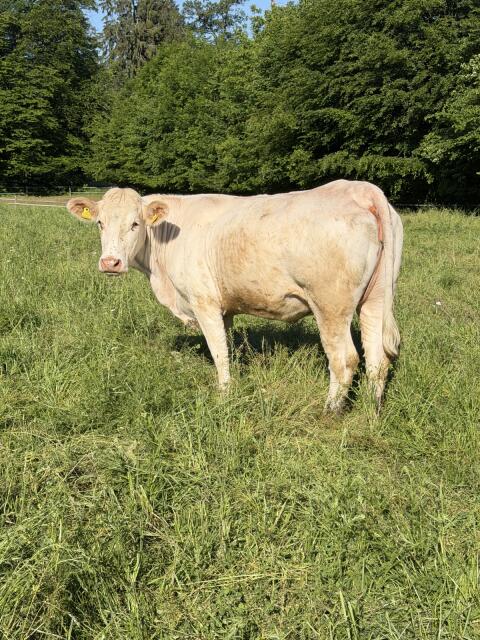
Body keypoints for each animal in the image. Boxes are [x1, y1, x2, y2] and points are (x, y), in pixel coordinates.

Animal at [67, 180, 403, 412]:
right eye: (100, 223)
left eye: (135, 223)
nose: (110, 262)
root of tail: (357, 189)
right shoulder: (224, 310)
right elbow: (226, 347)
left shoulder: (204, 302)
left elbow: (218, 352)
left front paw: (224, 396)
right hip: (374, 299)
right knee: (377, 359)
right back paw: (372, 409)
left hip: (331, 305)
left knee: (344, 359)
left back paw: (330, 411)